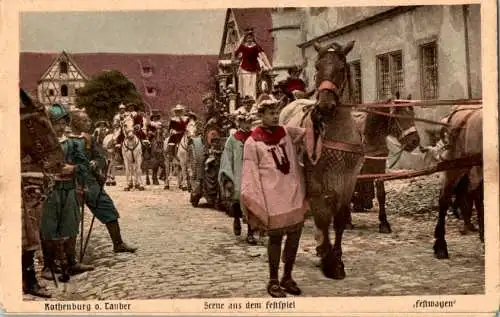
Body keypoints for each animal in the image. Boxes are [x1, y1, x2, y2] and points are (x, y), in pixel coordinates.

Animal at [278, 40, 364, 278]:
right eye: (317, 67)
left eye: (341, 69)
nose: (325, 105)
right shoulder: (316, 180)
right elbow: (323, 217)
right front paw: (328, 260)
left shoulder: (348, 180)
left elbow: (340, 218)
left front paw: (336, 258)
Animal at [352, 103, 422, 232]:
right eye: (399, 116)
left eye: (412, 115)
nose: (415, 141)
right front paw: (347, 222)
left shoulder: (379, 166)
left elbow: (381, 194)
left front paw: (384, 223)